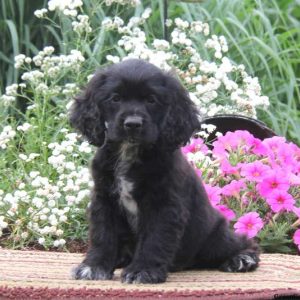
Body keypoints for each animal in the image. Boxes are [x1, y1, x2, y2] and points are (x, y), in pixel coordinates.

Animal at [69, 58, 258, 284]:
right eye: (115, 98)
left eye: (151, 100)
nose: (132, 124)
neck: (129, 152)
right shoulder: (104, 199)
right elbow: (103, 235)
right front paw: (93, 266)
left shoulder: (164, 206)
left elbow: (154, 240)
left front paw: (143, 271)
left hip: (216, 235)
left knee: (241, 242)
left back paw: (242, 259)